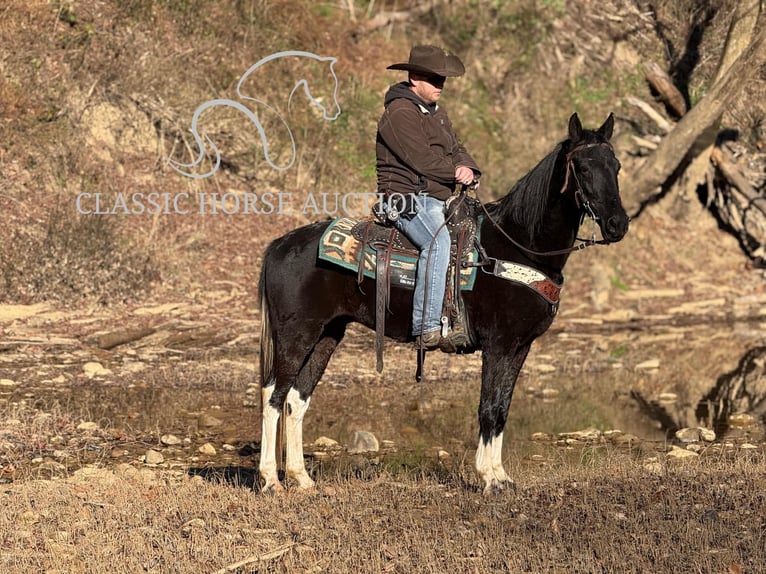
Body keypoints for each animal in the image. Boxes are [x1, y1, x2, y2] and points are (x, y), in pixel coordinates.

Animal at [258, 112, 632, 496]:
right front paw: (489, 478)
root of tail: (279, 245)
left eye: (616, 165)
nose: (618, 225)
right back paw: (271, 479)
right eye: (583, 168)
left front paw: (503, 477)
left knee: (296, 399)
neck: (519, 245)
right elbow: (488, 408)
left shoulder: (520, 347)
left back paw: (302, 479)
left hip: (327, 335)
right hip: (296, 335)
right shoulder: (498, 345)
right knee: (273, 394)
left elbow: (503, 409)